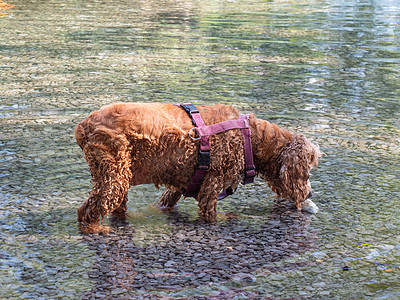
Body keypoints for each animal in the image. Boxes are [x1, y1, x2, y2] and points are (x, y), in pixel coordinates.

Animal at [75, 102, 322, 233]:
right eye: (307, 171)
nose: (310, 194)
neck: (251, 137)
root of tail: (84, 126)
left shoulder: (180, 184)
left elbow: (166, 201)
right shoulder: (211, 185)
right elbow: (210, 215)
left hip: (120, 178)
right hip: (113, 179)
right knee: (86, 211)